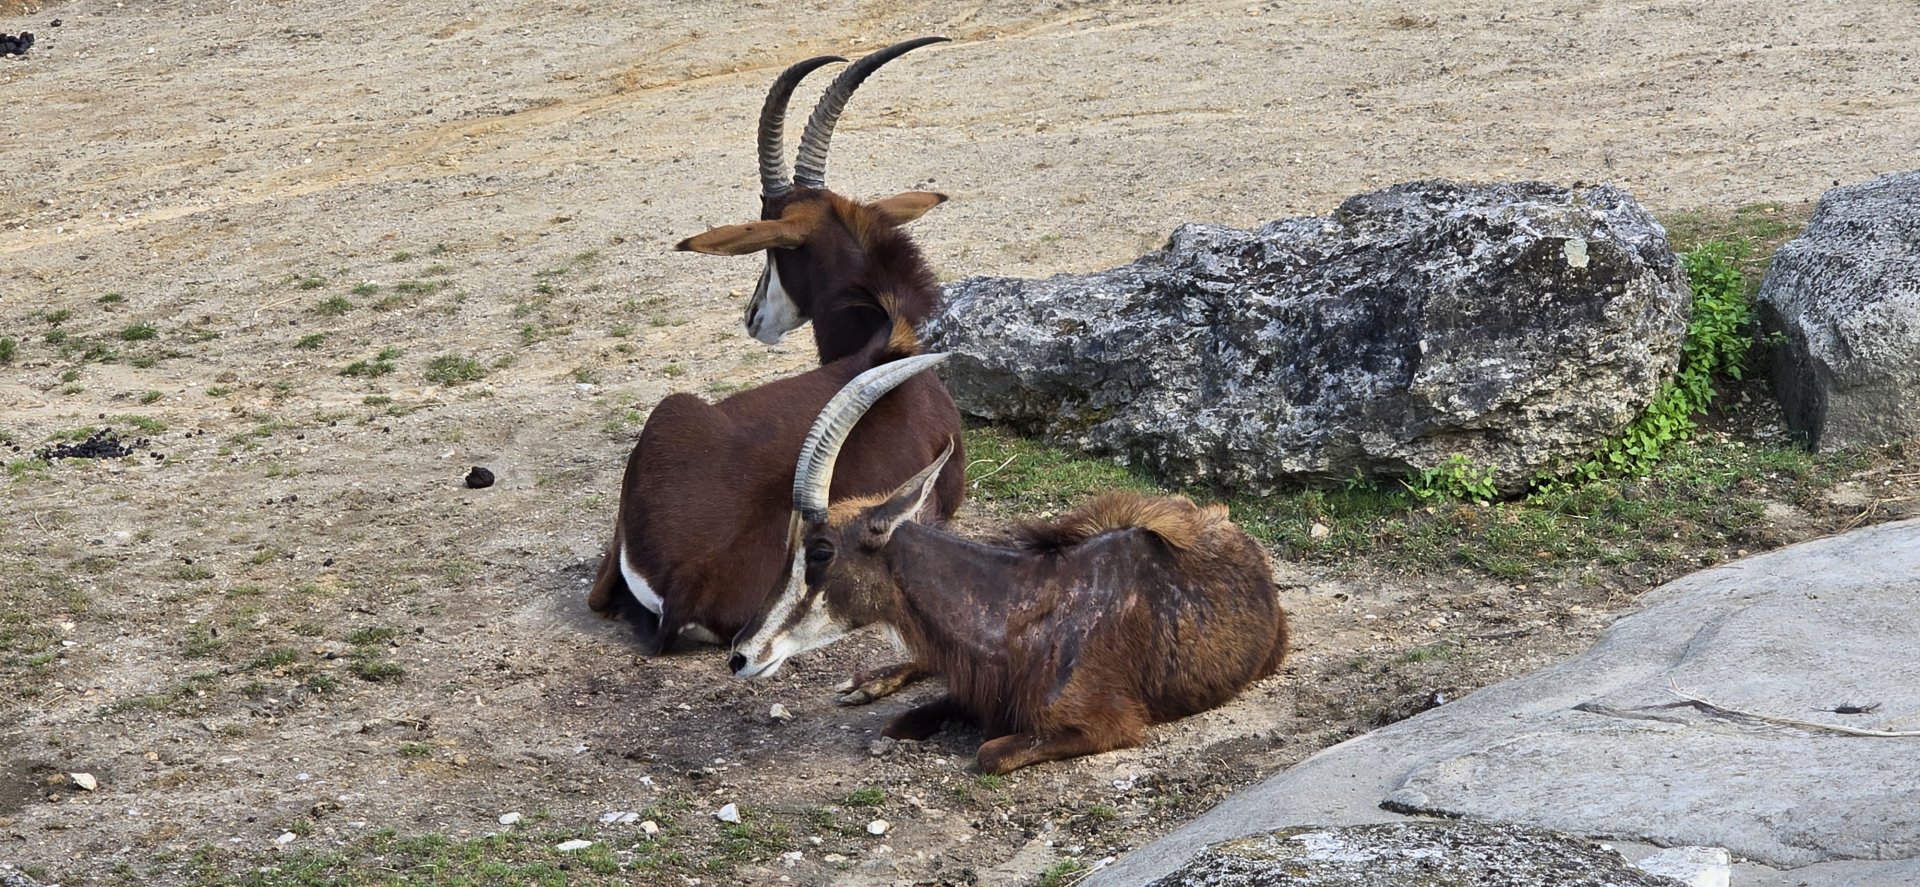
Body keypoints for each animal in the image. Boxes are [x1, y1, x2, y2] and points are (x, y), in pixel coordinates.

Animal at [730, 355, 1292, 773]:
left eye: (822, 551)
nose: (741, 655)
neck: (1014, 610)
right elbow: (906, 718)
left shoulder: (1107, 723)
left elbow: (988, 753)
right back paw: (864, 682)